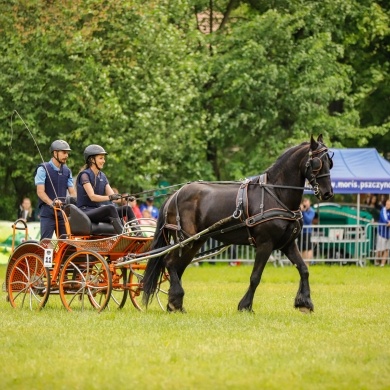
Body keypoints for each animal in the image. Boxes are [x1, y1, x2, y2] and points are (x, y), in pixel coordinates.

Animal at [142, 136, 334, 312]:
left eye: (329, 163)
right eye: (317, 163)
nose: (327, 193)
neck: (276, 194)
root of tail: (175, 194)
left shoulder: (288, 244)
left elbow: (304, 269)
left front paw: (305, 302)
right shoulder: (265, 243)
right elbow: (255, 277)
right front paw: (245, 306)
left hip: (195, 241)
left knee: (177, 266)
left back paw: (175, 304)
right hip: (186, 240)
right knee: (169, 262)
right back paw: (176, 299)